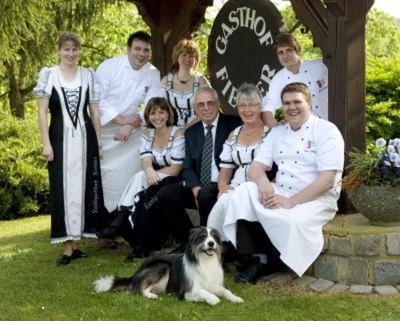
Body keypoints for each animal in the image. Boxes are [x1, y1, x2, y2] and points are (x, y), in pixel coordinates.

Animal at [94, 226, 244, 304]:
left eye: (214, 237)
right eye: (202, 237)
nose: (211, 243)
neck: (204, 261)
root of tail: (135, 274)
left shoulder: (214, 284)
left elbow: (226, 291)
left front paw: (236, 298)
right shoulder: (188, 290)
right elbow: (203, 292)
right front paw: (213, 299)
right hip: (162, 266)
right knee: (139, 288)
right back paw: (150, 296)